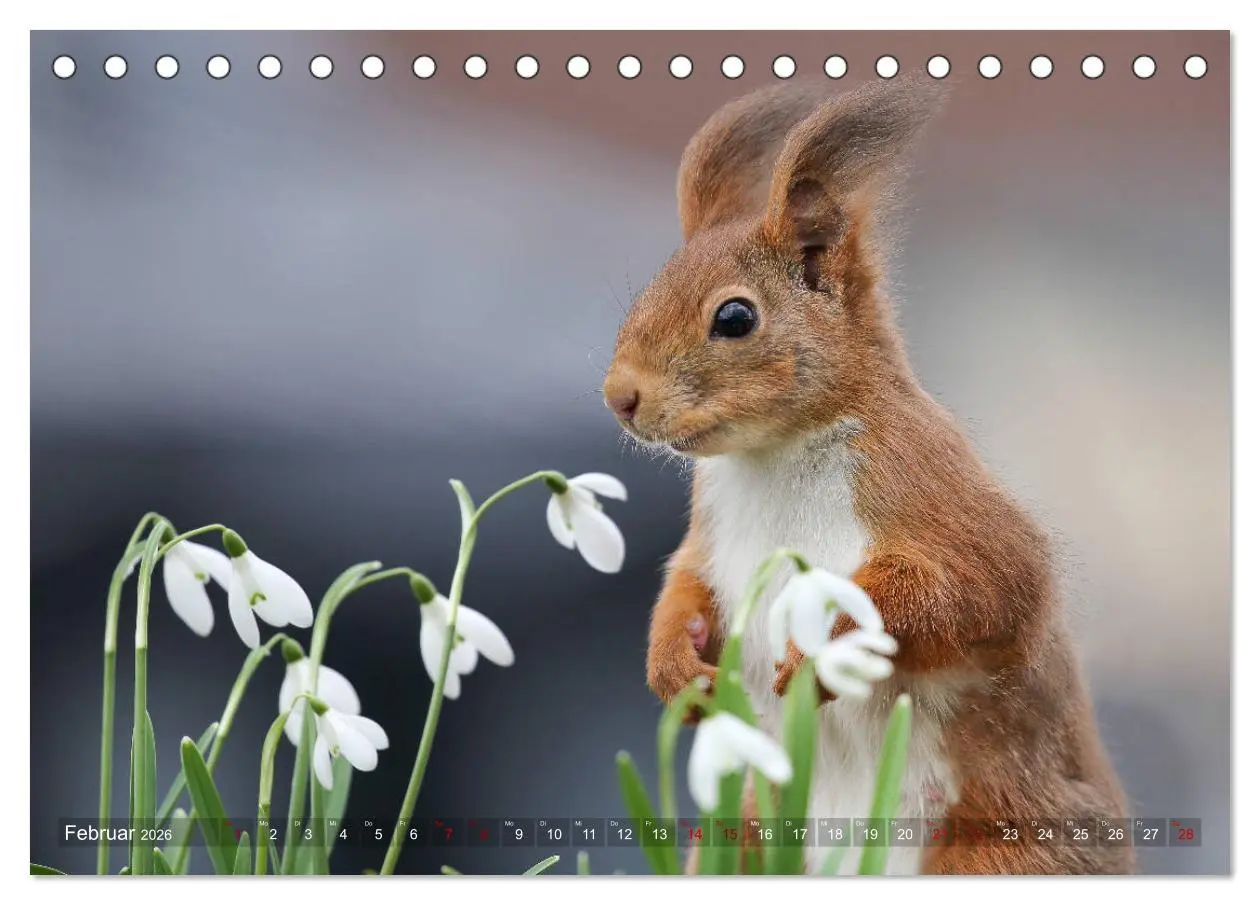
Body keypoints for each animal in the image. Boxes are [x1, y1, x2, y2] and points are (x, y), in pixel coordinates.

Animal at [601, 78, 1132, 875]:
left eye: (735, 317)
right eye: (647, 292)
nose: (619, 396)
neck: (776, 456)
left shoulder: (932, 493)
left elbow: (972, 591)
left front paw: (822, 649)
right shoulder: (711, 534)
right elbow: (684, 586)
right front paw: (675, 669)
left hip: (998, 849)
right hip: (746, 837)